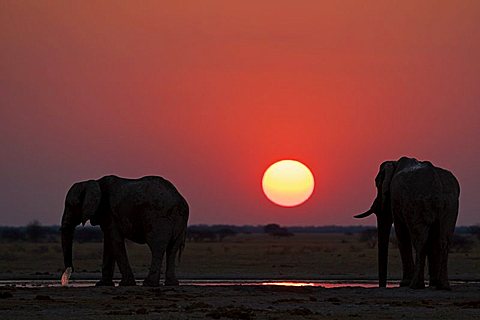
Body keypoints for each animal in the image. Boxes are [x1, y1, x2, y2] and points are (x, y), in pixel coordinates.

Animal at [59, 175, 188, 288]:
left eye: (70, 205)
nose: (68, 274)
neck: (94, 182)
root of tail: (180, 201)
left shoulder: (109, 213)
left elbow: (115, 240)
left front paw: (125, 284)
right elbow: (109, 242)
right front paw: (102, 284)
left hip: (158, 217)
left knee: (157, 247)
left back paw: (149, 284)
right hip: (179, 222)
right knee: (172, 248)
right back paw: (172, 284)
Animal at [354, 157, 460, 290]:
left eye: (377, 184)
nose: (382, 286)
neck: (394, 163)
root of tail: (437, 183)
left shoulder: (396, 198)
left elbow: (401, 232)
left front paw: (404, 283)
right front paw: (433, 284)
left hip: (417, 203)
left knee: (420, 240)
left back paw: (415, 285)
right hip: (451, 206)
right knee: (443, 240)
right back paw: (442, 286)